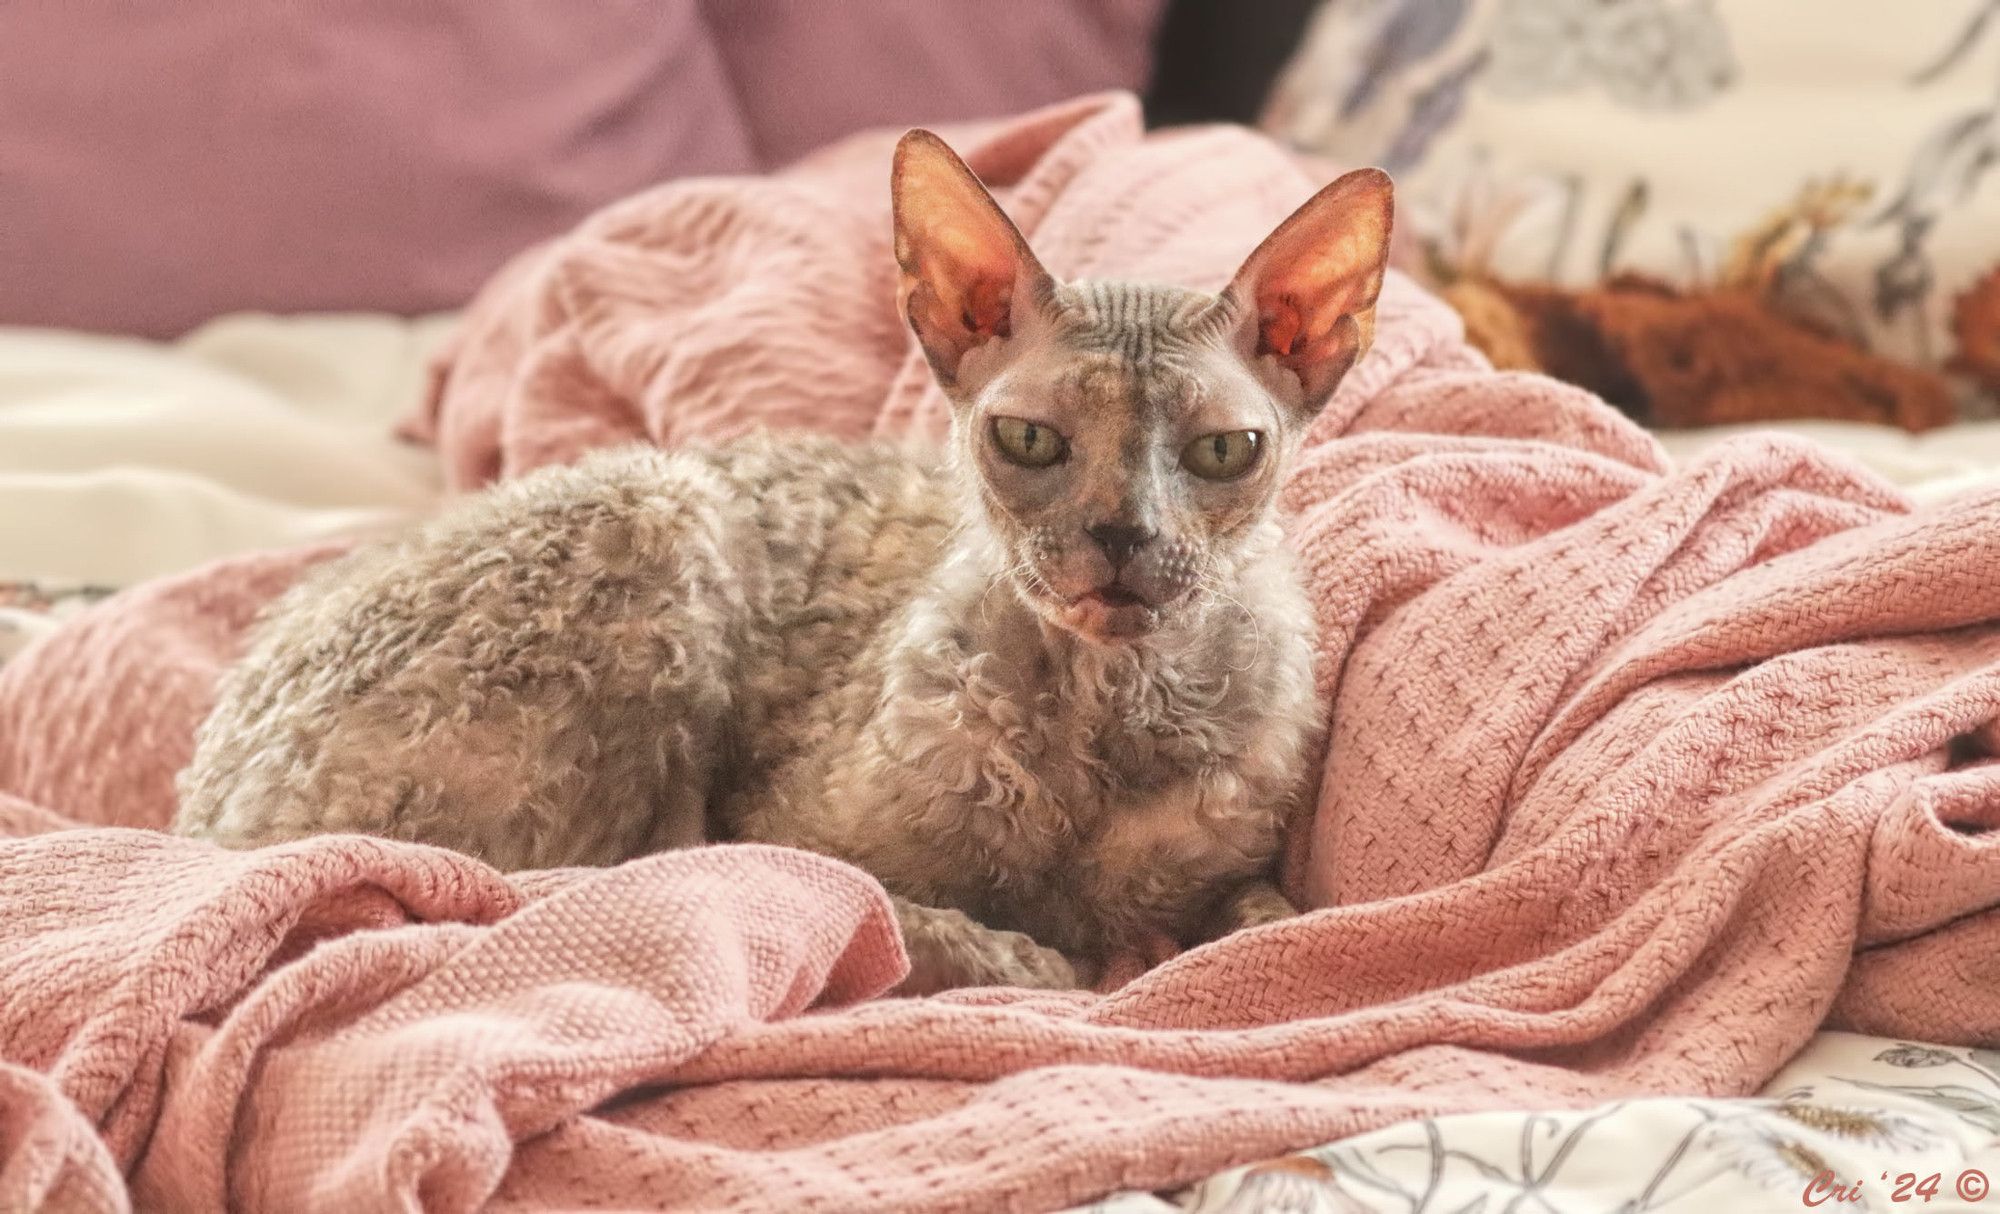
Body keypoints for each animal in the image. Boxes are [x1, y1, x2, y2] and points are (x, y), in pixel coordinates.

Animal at [168, 128, 1392, 992]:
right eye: (1030, 441)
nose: (1124, 538)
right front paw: (1043, 955)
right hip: (657, 508)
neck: (1110, 712)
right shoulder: (788, 834)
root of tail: (197, 811)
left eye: (1223, 451)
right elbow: (895, 912)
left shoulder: (1231, 871)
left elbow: (1270, 926)